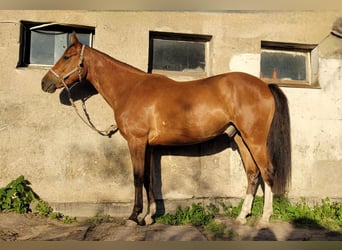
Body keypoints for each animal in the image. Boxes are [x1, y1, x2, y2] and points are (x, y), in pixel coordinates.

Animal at [41, 32, 290, 228]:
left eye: (67, 56)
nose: (45, 83)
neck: (130, 89)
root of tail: (264, 85)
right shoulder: (149, 146)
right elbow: (149, 179)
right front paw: (149, 216)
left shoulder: (136, 141)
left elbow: (137, 177)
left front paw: (133, 217)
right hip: (239, 138)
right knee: (252, 173)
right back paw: (241, 217)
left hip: (254, 138)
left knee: (267, 171)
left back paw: (264, 218)